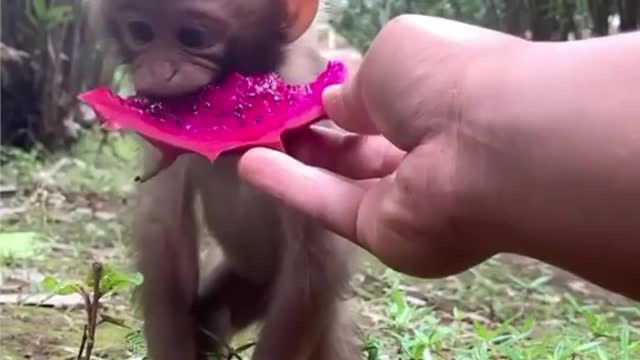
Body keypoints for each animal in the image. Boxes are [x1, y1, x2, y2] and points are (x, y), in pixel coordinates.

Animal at [91, 0, 360, 360]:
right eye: (141, 32)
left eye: (194, 37)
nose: (158, 71)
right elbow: (163, 233)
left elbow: (315, 267)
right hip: (246, 281)